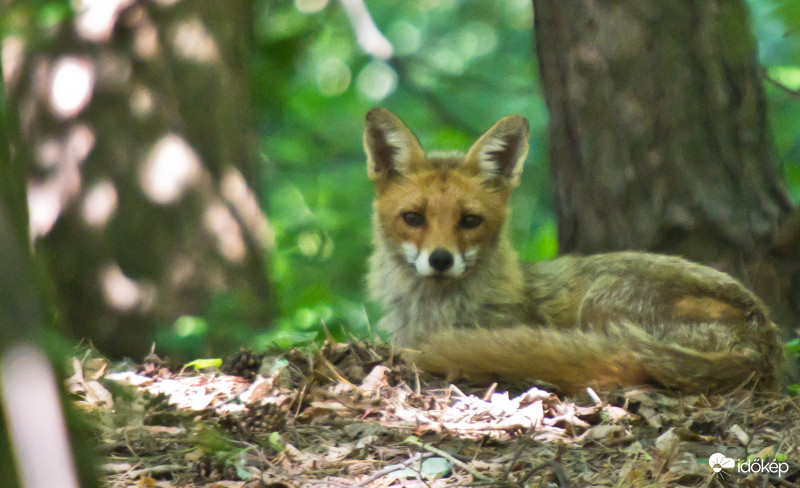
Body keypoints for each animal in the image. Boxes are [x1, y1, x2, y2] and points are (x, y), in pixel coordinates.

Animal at [364, 108, 780, 394]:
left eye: (470, 221)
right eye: (413, 218)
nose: (441, 260)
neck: (436, 311)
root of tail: (761, 343)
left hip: (602, 300)